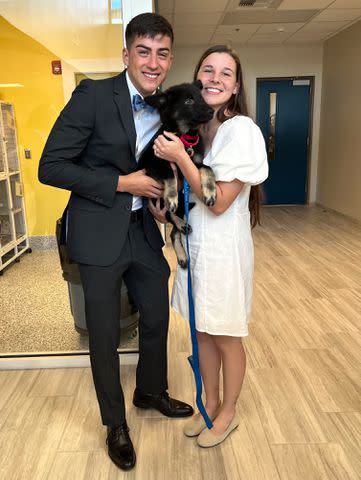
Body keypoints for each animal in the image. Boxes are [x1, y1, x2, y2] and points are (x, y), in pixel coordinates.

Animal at [137, 79, 217, 266]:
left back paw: (181, 253)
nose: (211, 111)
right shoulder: (152, 163)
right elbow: (170, 174)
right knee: (170, 214)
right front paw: (171, 197)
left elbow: (208, 169)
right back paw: (180, 223)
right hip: (157, 198)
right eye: (188, 101)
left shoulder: (193, 164)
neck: (184, 137)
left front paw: (210, 192)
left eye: (201, 97)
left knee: (174, 231)